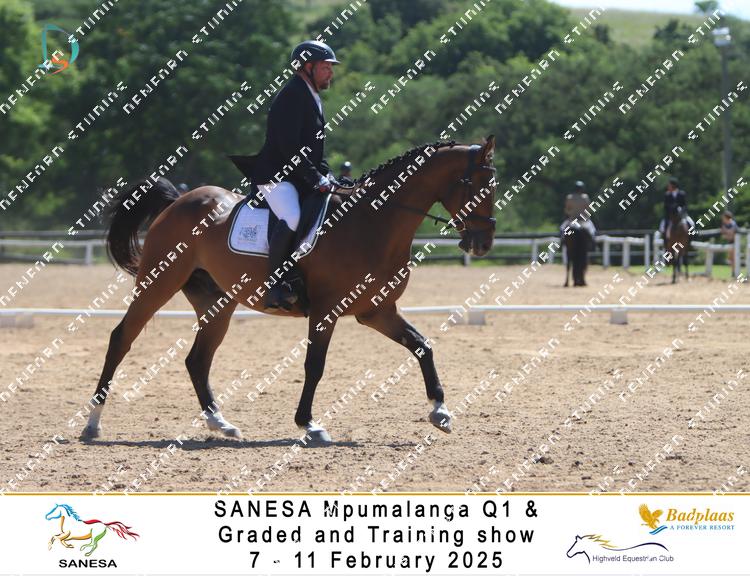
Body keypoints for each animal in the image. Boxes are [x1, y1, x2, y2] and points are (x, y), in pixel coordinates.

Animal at [81, 137, 497, 444]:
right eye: (476, 185)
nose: (482, 244)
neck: (373, 221)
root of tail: (178, 201)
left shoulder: (377, 311)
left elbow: (423, 346)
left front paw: (440, 411)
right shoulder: (328, 310)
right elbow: (315, 366)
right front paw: (309, 425)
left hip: (218, 301)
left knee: (197, 360)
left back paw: (221, 424)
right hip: (157, 283)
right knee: (122, 338)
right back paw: (92, 424)